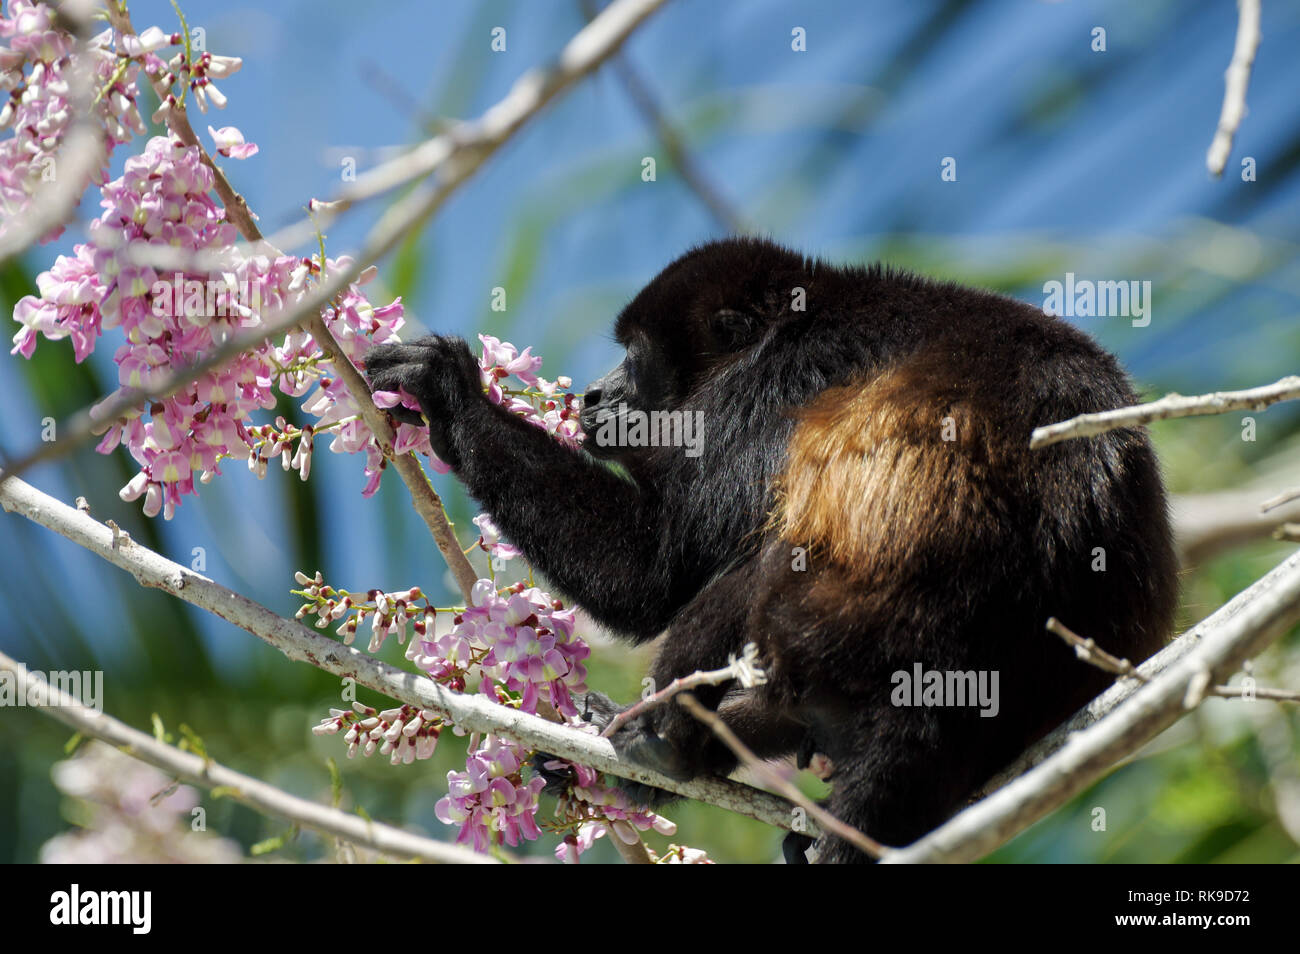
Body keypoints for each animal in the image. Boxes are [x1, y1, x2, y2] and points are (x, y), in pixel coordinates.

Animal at [366, 239, 1180, 868]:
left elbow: (657, 570)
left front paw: (450, 396)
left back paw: (664, 745)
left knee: (756, 568)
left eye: (635, 357)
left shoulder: (771, 386)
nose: (594, 395)